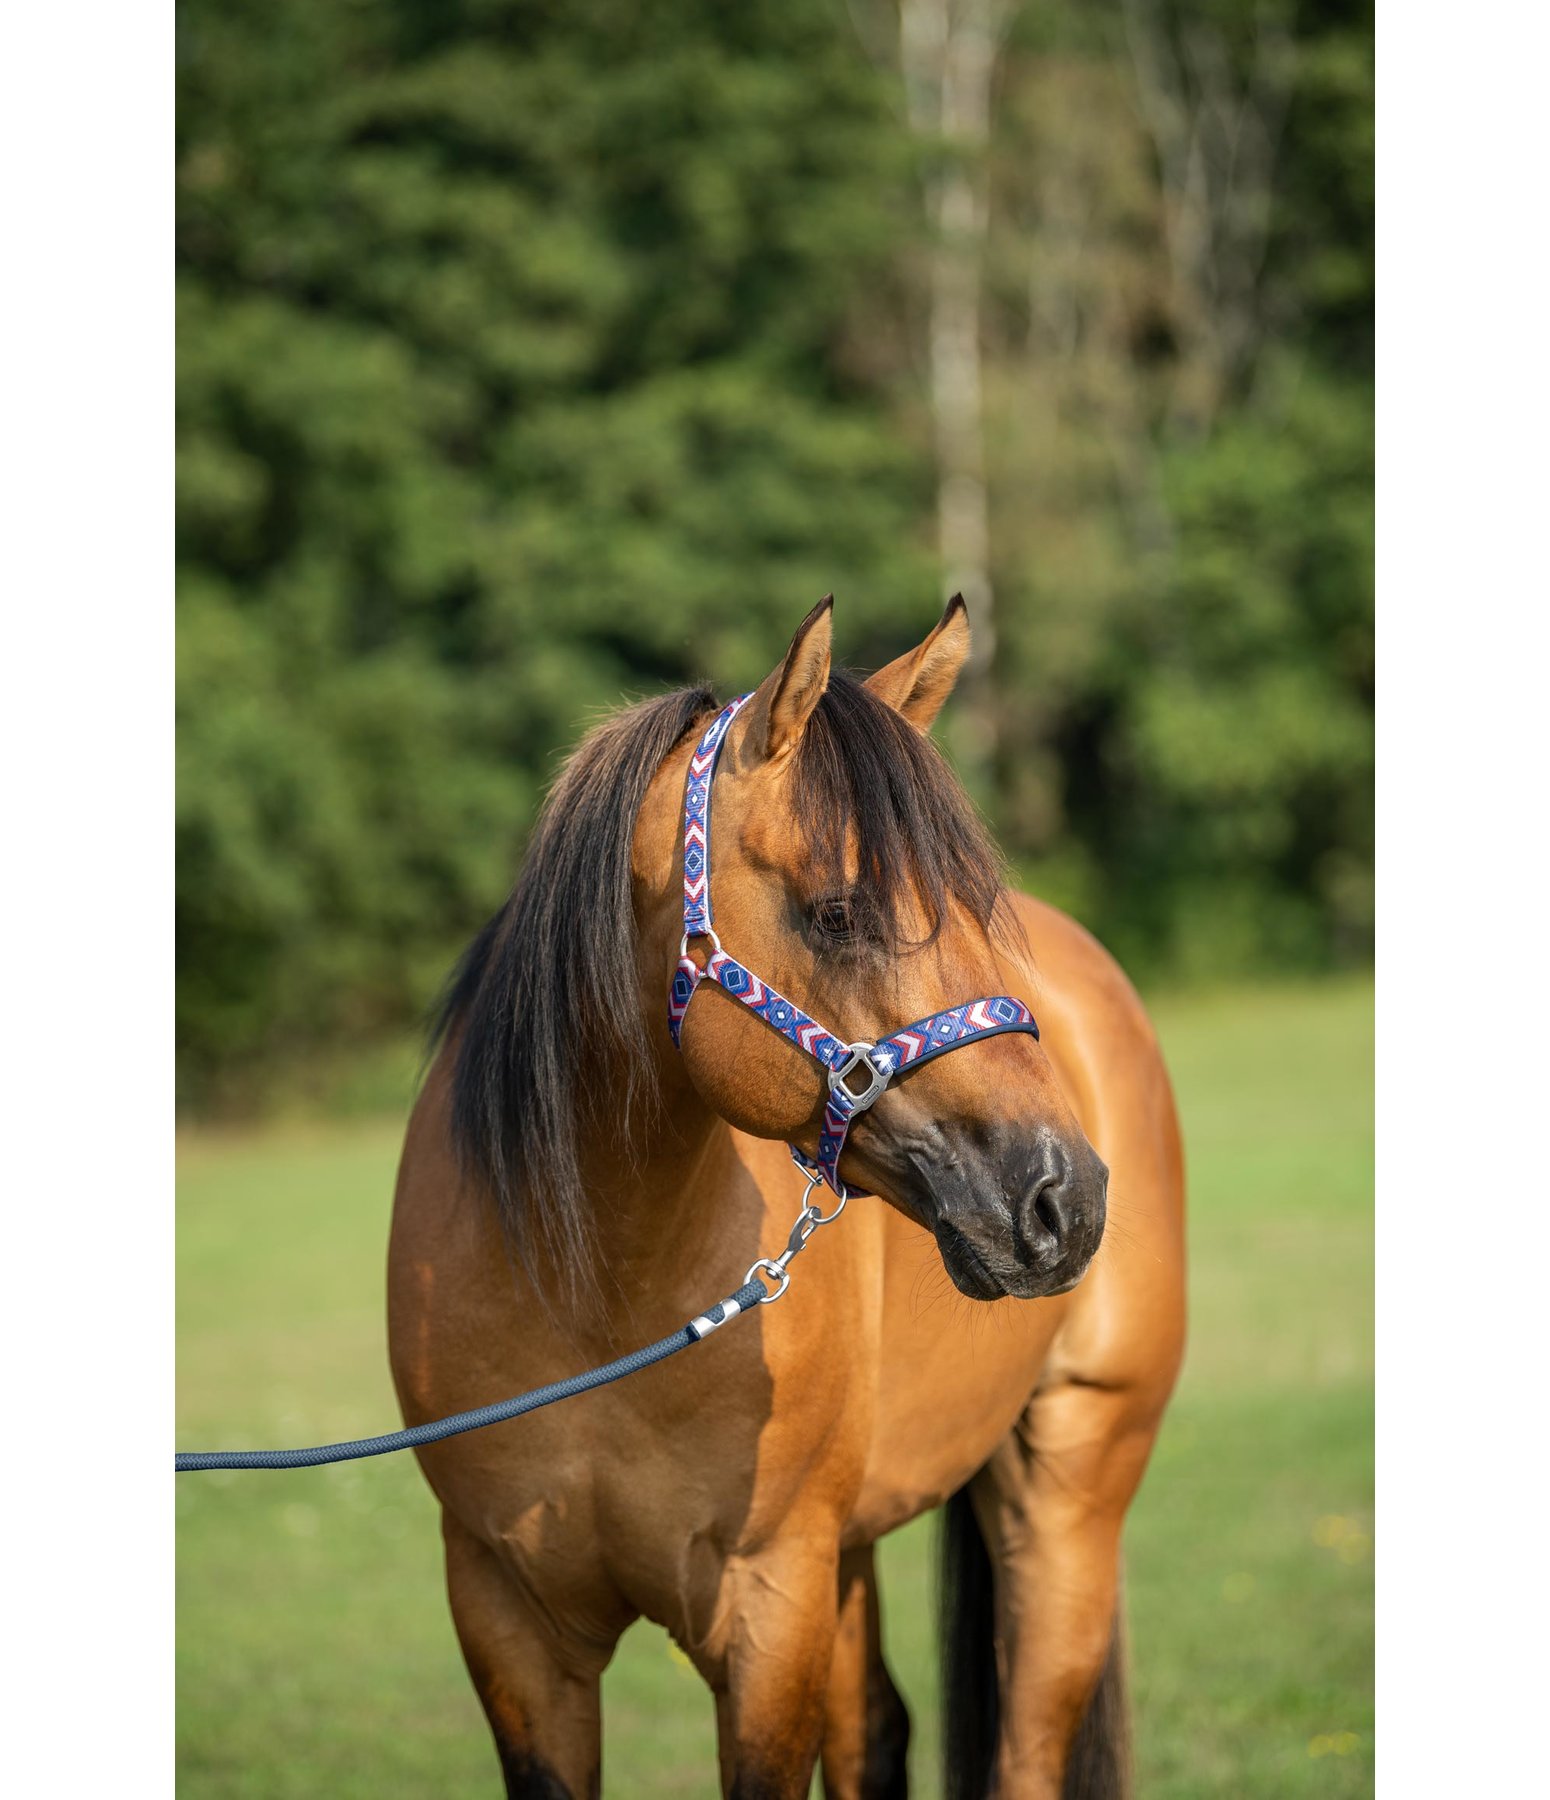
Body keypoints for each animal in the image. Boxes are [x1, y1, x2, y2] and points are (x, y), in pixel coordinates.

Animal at [387, 597, 1188, 1792]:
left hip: (1069, 1488)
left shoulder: (770, 1607)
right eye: (837, 913)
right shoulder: (507, 1620)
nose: (1065, 1198)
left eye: (975, 909)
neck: (597, 1295)